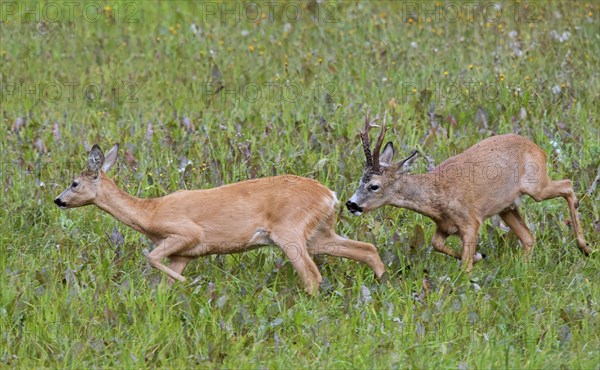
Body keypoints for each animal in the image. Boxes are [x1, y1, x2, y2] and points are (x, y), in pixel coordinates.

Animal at [55, 143, 384, 294]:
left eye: (74, 182)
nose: (58, 200)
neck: (150, 212)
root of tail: (330, 194)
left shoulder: (186, 233)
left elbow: (151, 257)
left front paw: (190, 282)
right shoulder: (184, 253)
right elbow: (162, 282)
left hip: (289, 231)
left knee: (312, 275)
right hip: (318, 233)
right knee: (366, 249)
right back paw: (382, 283)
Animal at [344, 111, 592, 274]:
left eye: (374, 185)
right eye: (359, 180)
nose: (351, 204)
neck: (437, 196)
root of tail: (538, 148)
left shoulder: (470, 222)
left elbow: (464, 266)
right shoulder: (444, 226)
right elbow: (436, 244)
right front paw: (480, 256)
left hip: (536, 185)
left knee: (568, 185)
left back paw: (585, 247)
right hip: (506, 207)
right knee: (529, 237)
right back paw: (524, 269)